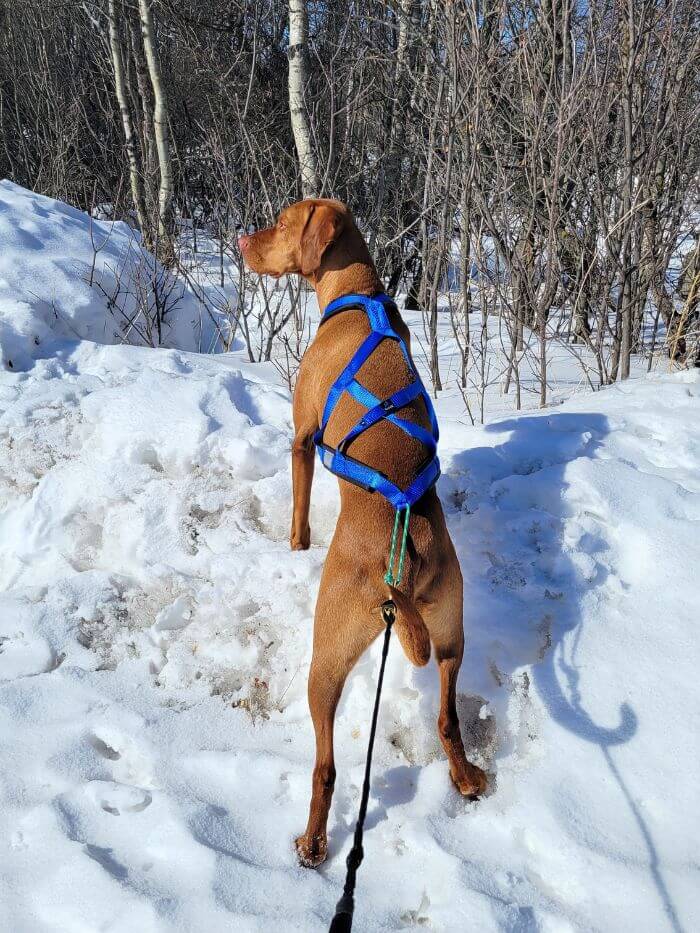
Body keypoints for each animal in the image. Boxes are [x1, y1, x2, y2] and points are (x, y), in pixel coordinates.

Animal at [238, 200, 484, 872]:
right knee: (448, 719)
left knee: (325, 767)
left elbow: (298, 511)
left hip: (325, 660)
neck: (359, 297)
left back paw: (314, 842)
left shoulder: (301, 437)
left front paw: (295, 545)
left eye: (280, 223)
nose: (240, 240)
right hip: (451, 635)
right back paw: (466, 777)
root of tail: (404, 561)